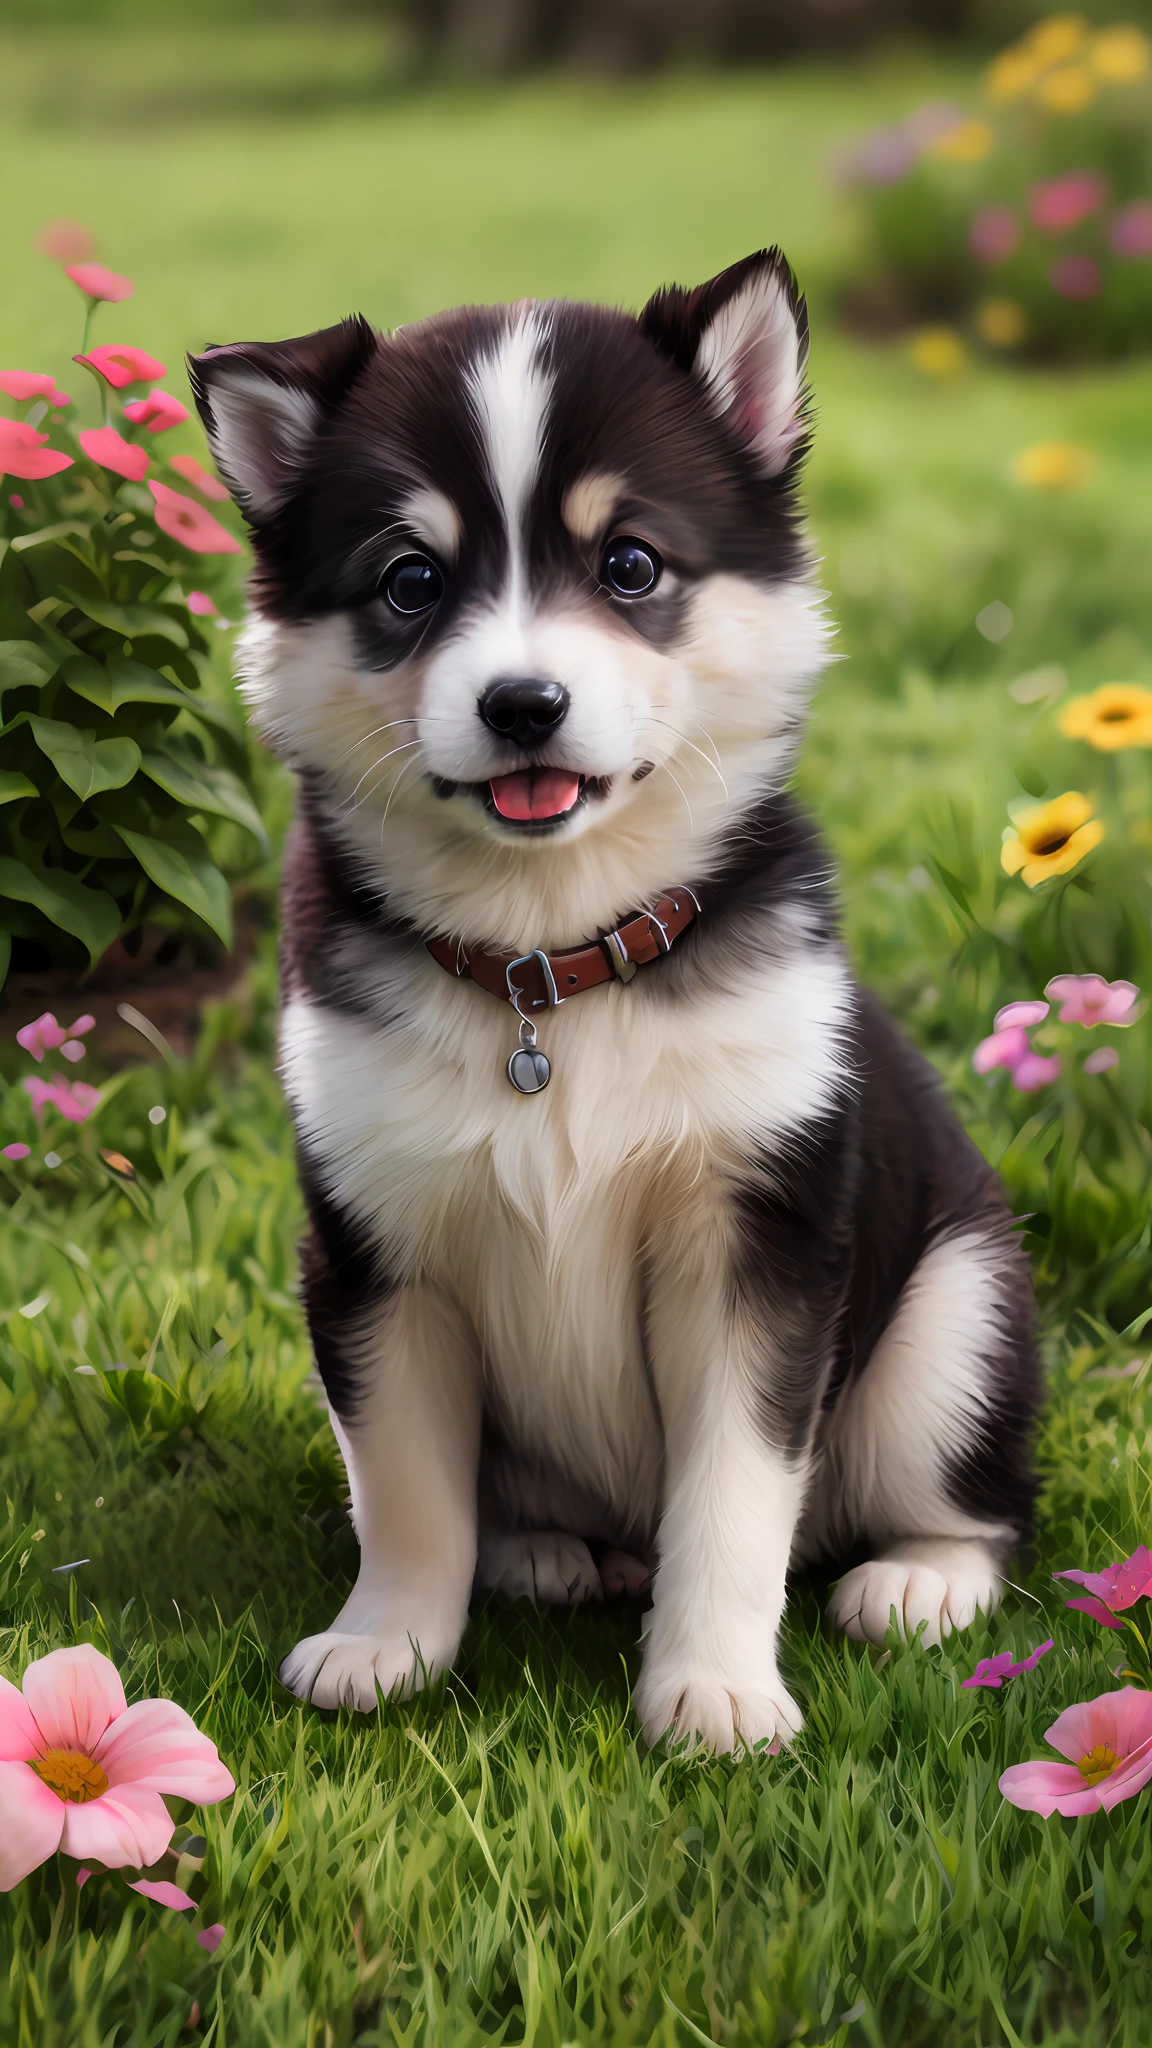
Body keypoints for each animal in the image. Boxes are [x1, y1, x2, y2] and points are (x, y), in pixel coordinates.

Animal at [190, 247, 1041, 1753]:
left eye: (629, 564)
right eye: (409, 581)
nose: (523, 703)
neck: (550, 968)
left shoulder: (756, 1244)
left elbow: (736, 1495)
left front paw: (715, 1686)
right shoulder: (373, 1243)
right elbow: (402, 1488)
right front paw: (388, 1639)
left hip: (958, 1312)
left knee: (979, 1504)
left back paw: (919, 1582)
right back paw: (538, 1549)